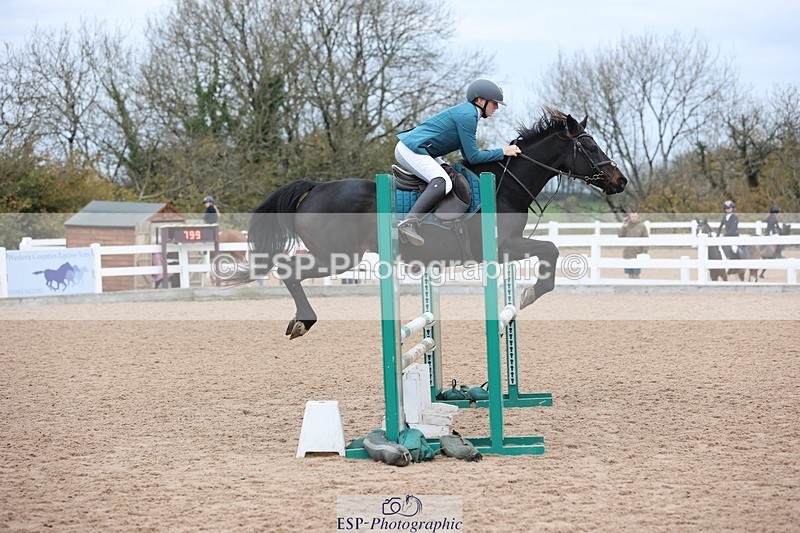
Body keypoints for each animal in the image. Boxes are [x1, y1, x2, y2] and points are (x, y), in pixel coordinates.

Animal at [249, 108, 627, 338]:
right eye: (591, 147)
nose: (619, 181)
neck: (505, 183)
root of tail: (315, 188)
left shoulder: (506, 250)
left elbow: (550, 250)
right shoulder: (503, 246)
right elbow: (551, 248)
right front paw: (532, 292)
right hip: (336, 256)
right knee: (289, 270)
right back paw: (303, 321)